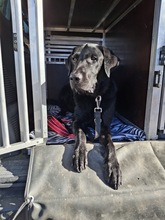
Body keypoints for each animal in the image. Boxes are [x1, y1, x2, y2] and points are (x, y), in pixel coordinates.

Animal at [66, 43, 121, 189]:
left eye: (94, 58)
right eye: (74, 58)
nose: (74, 77)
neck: (94, 98)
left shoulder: (105, 126)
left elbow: (110, 144)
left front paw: (114, 167)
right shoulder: (76, 121)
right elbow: (81, 134)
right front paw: (79, 155)